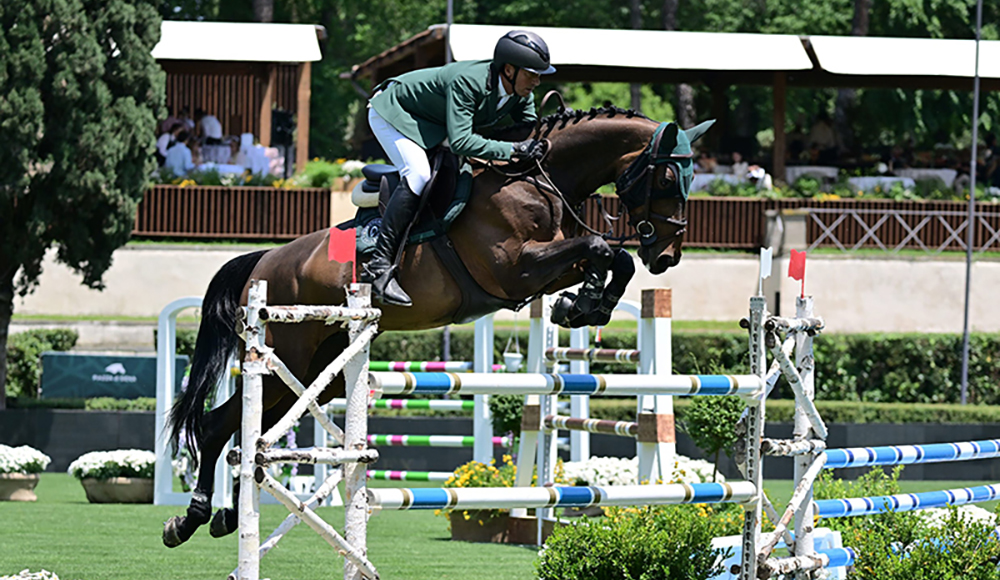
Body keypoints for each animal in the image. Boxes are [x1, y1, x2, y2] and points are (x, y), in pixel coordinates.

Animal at [162, 106, 712, 548]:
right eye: (668, 178)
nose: (667, 256)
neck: (538, 179)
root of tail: (264, 260)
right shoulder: (516, 268)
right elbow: (600, 248)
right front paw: (585, 303)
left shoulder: (546, 267)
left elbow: (614, 258)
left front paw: (584, 306)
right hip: (287, 359)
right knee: (219, 426)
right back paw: (189, 520)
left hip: (319, 372)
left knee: (249, 432)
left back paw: (227, 517)